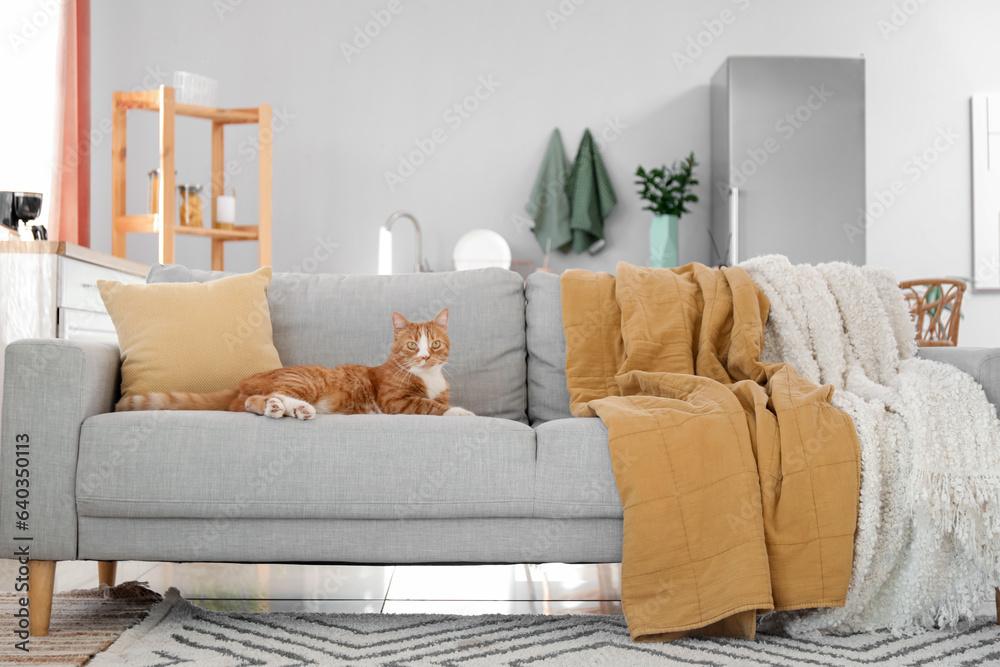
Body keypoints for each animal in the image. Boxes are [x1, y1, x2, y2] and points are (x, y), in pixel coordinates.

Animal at [115, 310, 474, 420]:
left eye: (435, 344)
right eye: (413, 345)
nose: (425, 356)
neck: (429, 376)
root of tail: (243, 380)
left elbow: (437, 401)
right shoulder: (395, 401)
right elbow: (429, 405)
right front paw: (462, 412)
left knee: (246, 404)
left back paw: (291, 409)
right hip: (304, 381)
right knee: (251, 401)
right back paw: (281, 407)